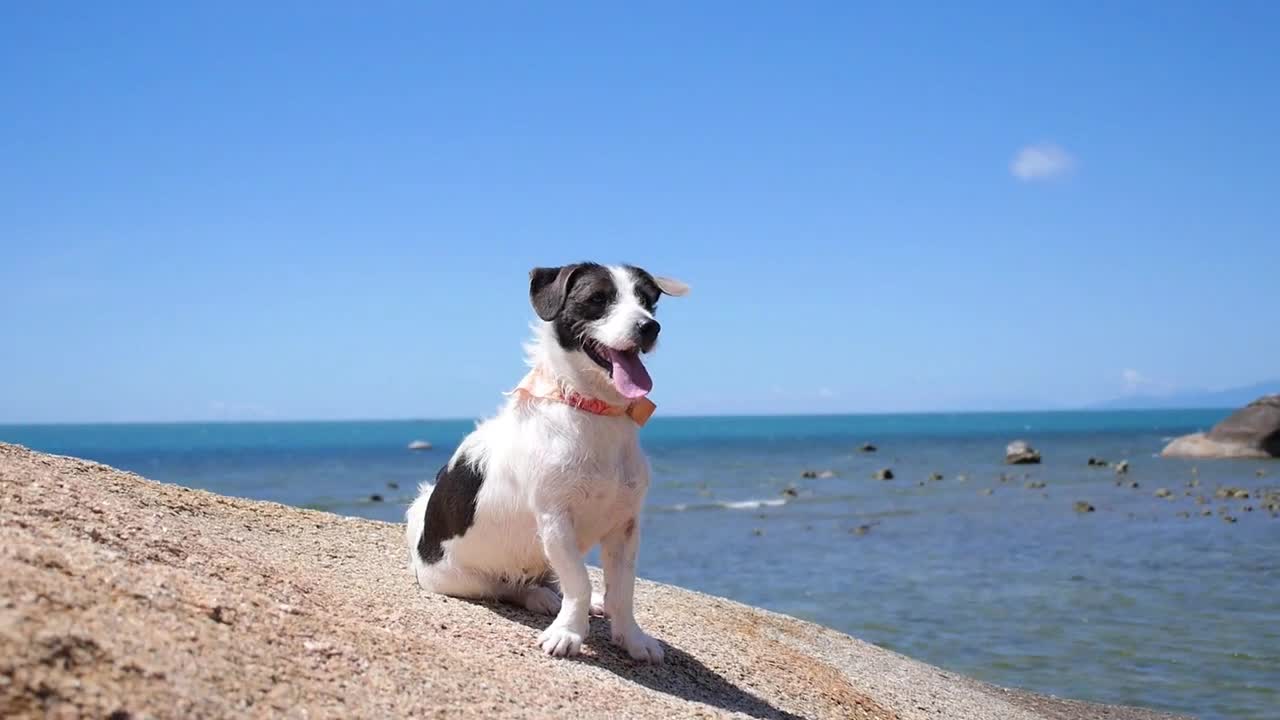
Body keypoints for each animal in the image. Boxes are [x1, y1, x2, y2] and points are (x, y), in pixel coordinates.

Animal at [407, 260, 691, 661]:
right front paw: (569, 632)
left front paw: (631, 637)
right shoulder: (555, 520)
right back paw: (539, 596)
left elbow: (623, 591)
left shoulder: (625, 525)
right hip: (464, 579)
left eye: (648, 301)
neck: (592, 410)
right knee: (510, 587)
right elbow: (578, 581)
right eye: (597, 299)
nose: (649, 327)